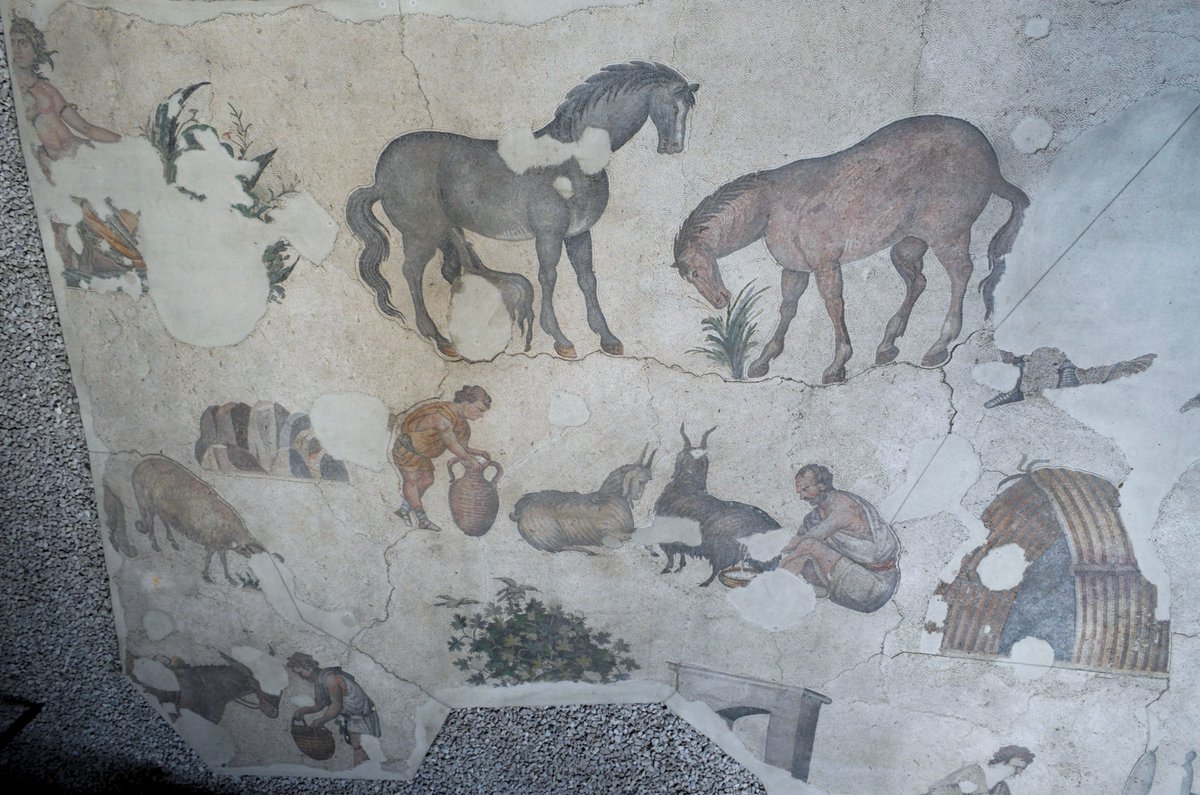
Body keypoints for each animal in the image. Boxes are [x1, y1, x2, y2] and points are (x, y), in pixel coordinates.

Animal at [348, 60, 700, 360]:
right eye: (673, 106)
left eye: (688, 109)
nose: (674, 147)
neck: (572, 159)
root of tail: (379, 179)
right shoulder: (548, 235)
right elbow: (549, 276)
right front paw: (561, 339)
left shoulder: (578, 233)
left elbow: (587, 279)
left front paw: (608, 338)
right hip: (421, 234)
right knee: (412, 272)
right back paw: (439, 338)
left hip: (445, 231)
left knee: (450, 271)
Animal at [508, 449, 657, 554]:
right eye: (641, 481)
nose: (638, 496)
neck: (611, 498)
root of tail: (519, 513)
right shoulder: (611, 532)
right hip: (551, 536)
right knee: (561, 548)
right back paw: (588, 550)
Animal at [652, 427, 782, 588]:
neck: (687, 488)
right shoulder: (680, 540)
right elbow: (681, 554)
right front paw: (679, 568)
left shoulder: (668, 537)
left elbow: (670, 557)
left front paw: (667, 569)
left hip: (723, 550)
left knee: (717, 569)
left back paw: (705, 583)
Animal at [672, 114, 1027, 384]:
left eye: (695, 271)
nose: (720, 300)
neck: (774, 203)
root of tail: (992, 165)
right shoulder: (796, 269)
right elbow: (788, 308)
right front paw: (762, 361)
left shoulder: (826, 265)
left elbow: (834, 306)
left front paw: (836, 365)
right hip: (908, 246)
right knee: (918, 281)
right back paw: (887, 346)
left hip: (948, 236)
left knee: (961, 274)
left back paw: (938, 346)